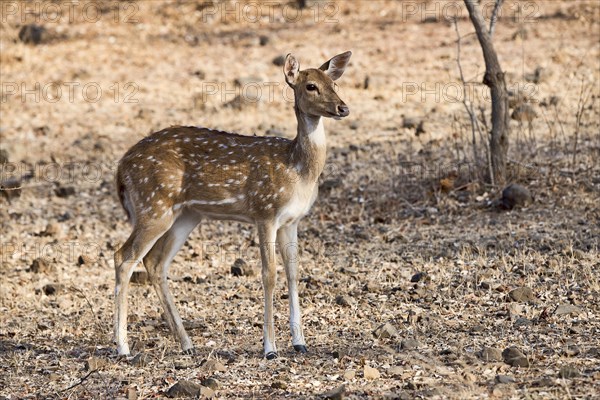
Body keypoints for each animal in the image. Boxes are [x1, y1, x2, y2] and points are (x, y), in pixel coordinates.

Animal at [113, 50, 352, 360]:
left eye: (334, 84)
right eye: (311, 86)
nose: (343, 108)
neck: (298, 170)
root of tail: (121, 168)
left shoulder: (292, 221)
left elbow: (293, 271)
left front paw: (300, 342)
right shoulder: (265, 211)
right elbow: (269, 274)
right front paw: (270, 348)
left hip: (186, 214)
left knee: (155, 261)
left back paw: (187, 343)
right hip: (153, 205)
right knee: (123, 256)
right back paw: (123, 347)